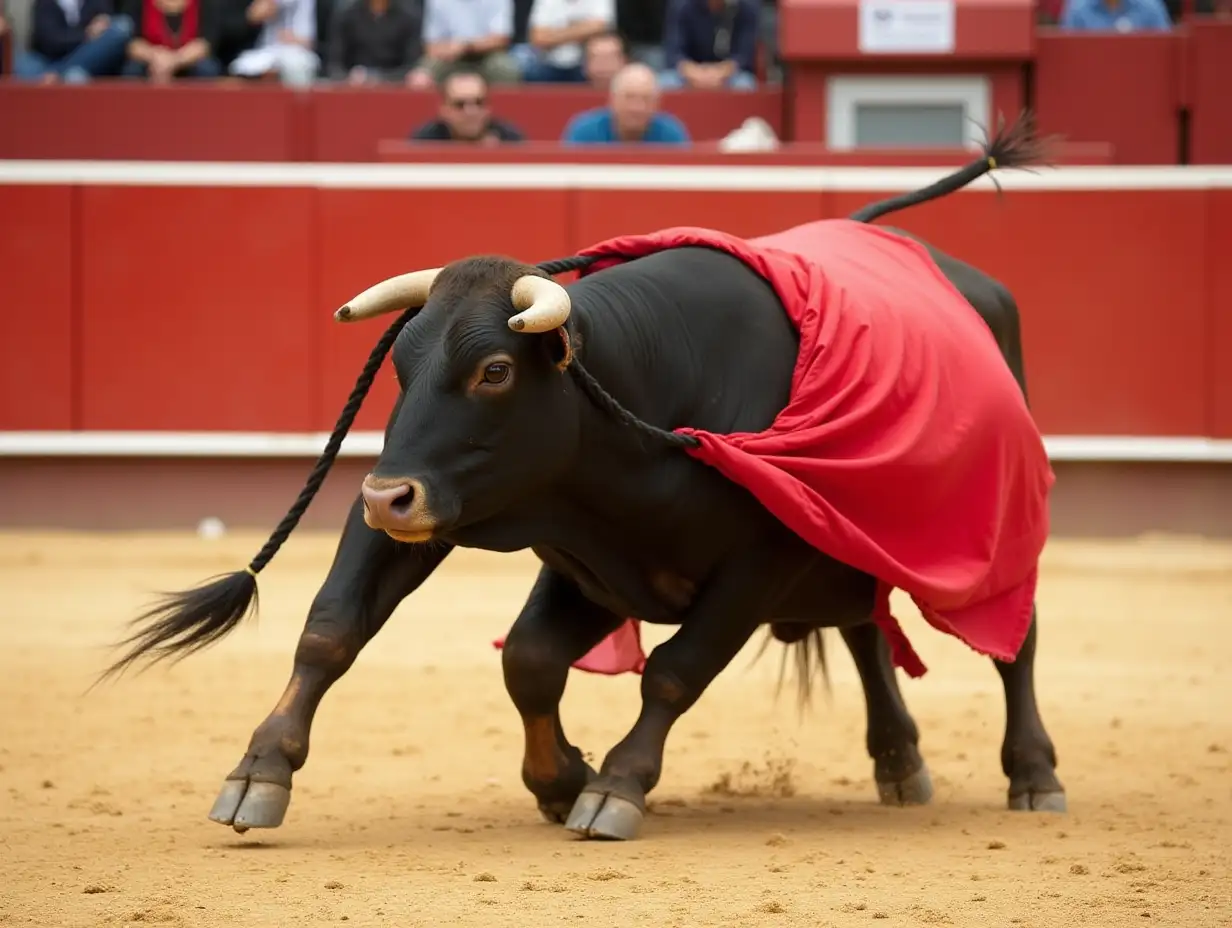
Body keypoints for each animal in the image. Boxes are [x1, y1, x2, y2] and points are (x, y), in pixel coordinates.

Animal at [101, 113, 1069, 838]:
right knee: (869, 631)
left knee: (1016, 642)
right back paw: (900, 762)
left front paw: (613, 789)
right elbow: (390, 637)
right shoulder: (516, 531)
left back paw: (1033, 775)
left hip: (996, 544)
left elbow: (673, 670)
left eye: (494, 371)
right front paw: (261, 769)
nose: (384, 494)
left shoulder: (759, 559)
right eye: (401, 368)